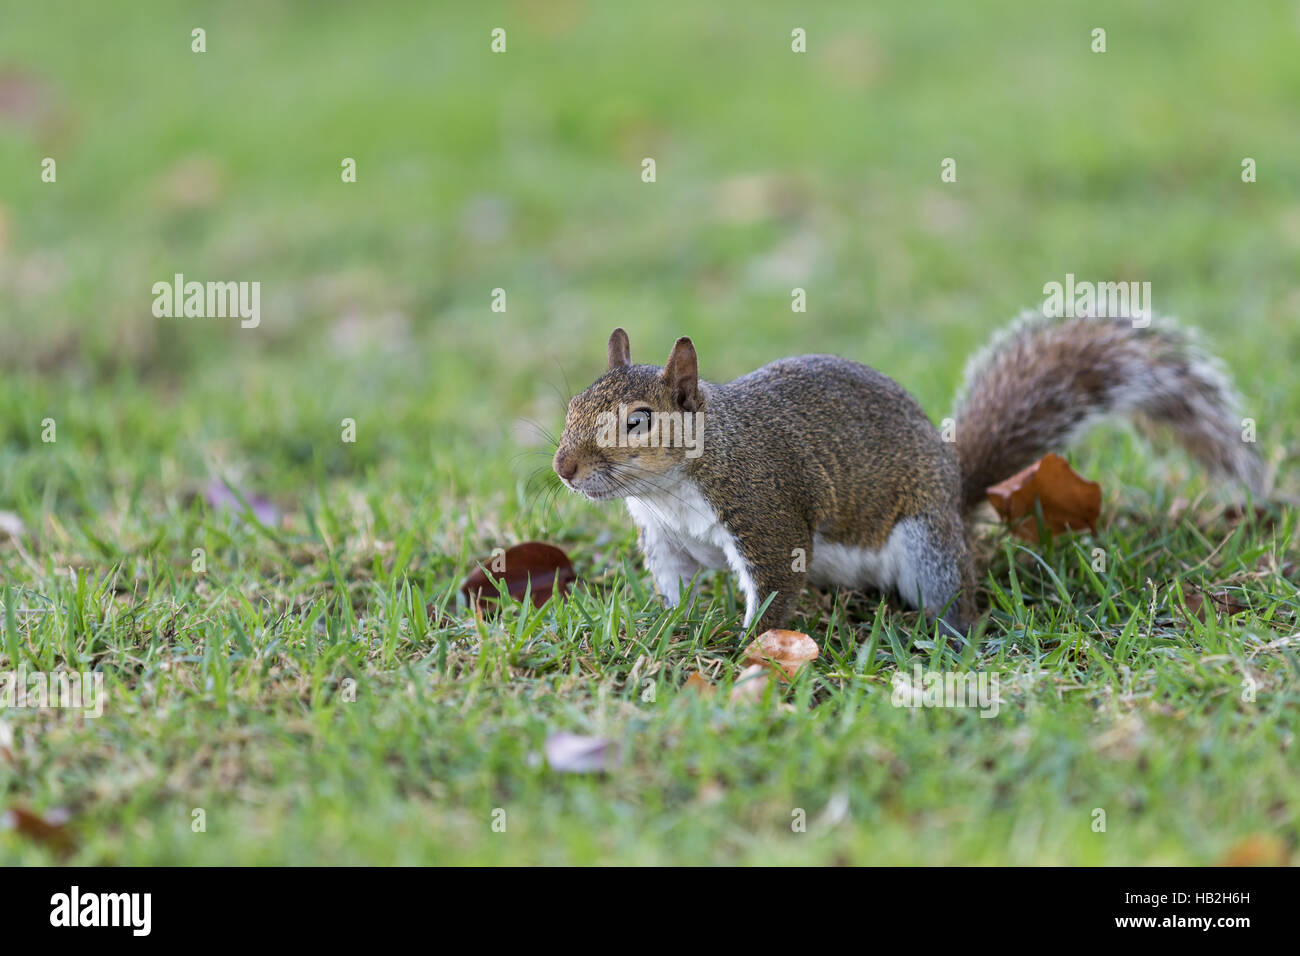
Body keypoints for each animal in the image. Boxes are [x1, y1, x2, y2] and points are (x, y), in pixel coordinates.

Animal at [553, 317, 1263, 639]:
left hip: (926, 543)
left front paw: (742, 648)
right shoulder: (664, 537)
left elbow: (776, 591)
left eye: (640, 421)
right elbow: (672, 585)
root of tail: (956, 492)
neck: (671, 489)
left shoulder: (766, 513)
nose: (564, 468)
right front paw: (663, 625)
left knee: (955, 598)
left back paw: (949, 632)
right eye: (572, 405)